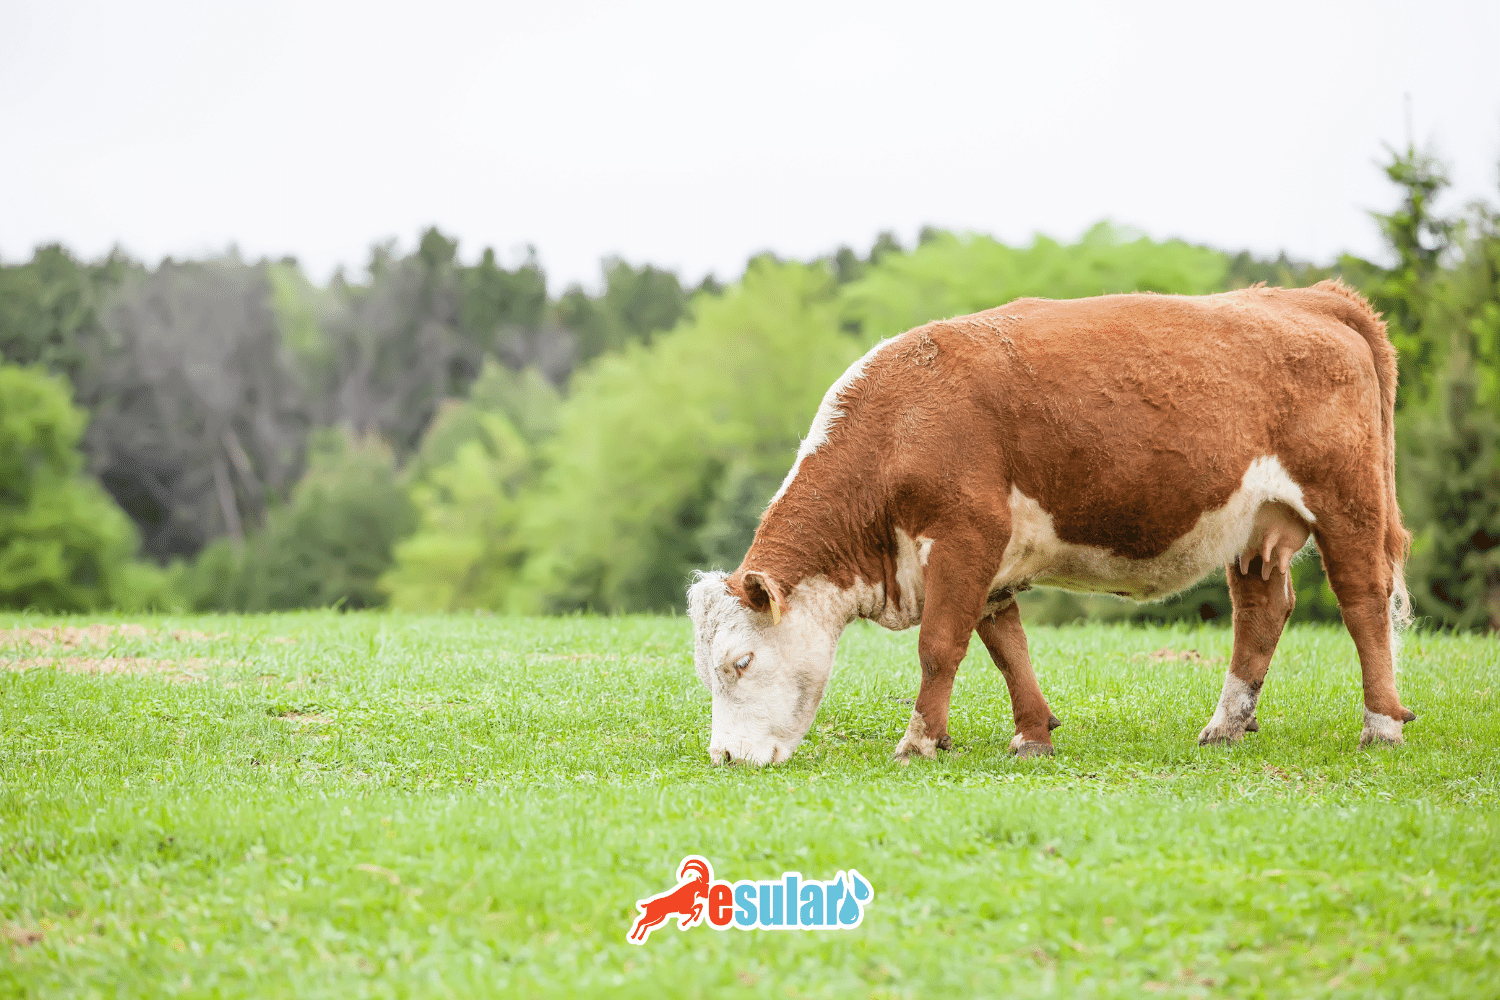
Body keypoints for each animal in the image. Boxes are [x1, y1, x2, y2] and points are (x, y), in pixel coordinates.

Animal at [687, 280, 1415, 766]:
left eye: (739, 662)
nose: (723, 757)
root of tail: (1308, 296)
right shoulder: (989, 559)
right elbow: (1005, 645)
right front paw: (1032, 734)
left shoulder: (965, 535)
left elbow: (940, 645)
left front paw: (919, 741)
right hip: (1254, 525)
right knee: (1262, 610)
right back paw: (1225, 726)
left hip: (1346, 501)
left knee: (1363, 601)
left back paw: (1382, 725)